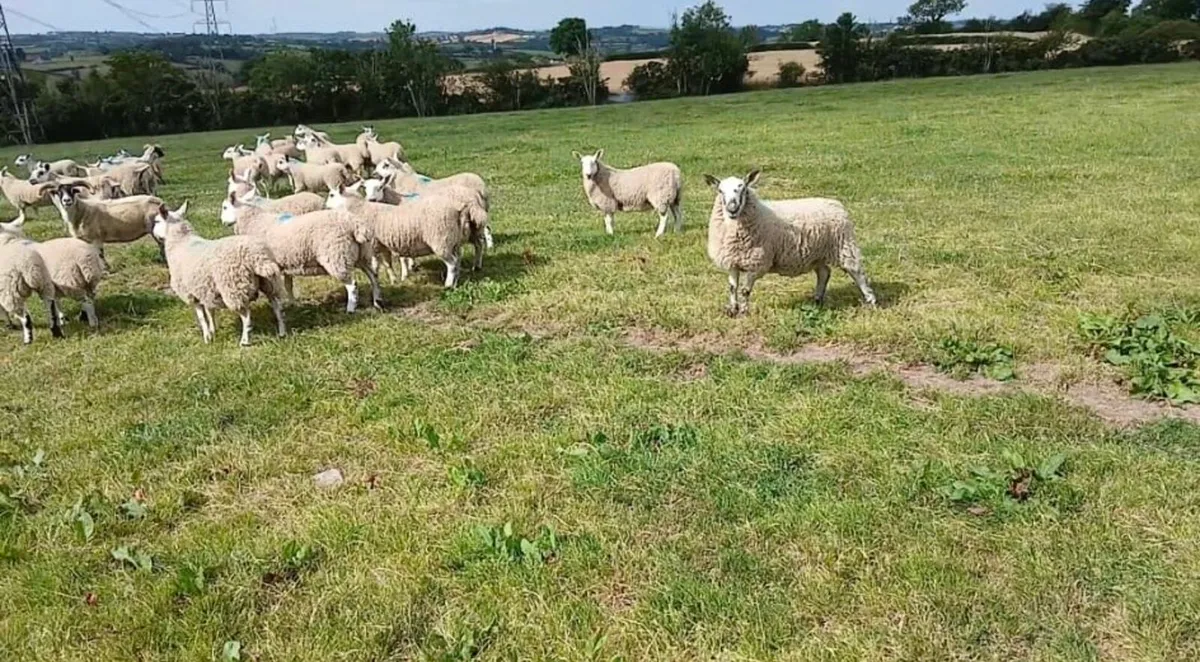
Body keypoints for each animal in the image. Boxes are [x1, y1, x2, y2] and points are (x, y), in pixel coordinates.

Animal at [0, 215, 64, 344]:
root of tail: (30, 265)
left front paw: (9, 324)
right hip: (45, 284)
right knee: (51, 308)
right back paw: (57, 333)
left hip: (11, 293)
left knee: (26, 318)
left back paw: (28, 340)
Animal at [153, 202, 287, 346]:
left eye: (157, 221)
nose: (154, 234)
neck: (181, 242)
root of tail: (257, 257)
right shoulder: (205, 290)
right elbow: (210, 312)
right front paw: (213, 331)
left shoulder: (191, 293)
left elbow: (202, 318)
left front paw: (207, 337)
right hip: (270, 283)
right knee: (277, 307)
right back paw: (282, 332)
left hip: (234, 288)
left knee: (246, 316)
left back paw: (244, 341)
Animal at [220, 202, 382, 313]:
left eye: (225, 207)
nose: (222, 222)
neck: (254, 221)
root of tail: (355, 224)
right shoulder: (286, 264)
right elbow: (288, 285)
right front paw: (292, 303)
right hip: (361, 254)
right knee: (373, 276)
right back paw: (377, 301)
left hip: (337, 256)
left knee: (352, 285)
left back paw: (350, 308)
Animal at [325, 182, 482, 288]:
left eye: (331, 195)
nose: (325, 207)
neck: (359, 209)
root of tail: (459, 209)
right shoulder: (383, 244)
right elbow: (388, 263)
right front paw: (394, 280)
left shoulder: (373, 244)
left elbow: (377, 264)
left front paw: (378, 277)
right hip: (453, 241)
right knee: (458, 260)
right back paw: (456, 281)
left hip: (441, 240)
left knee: (452, 263)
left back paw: (448, 285)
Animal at [704, 170, 876, 317]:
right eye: (720, 191)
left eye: (744, 189)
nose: (732, 208)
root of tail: (835, 203)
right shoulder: (733, 260)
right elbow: (732, 288)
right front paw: (732, 310)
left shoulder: (757, 262)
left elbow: (745, 290)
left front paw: (744, 311)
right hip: (818, 253)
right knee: (824, 273)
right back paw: (817, 300)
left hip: (844, 245)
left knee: (857, 271)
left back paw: (871, 301)